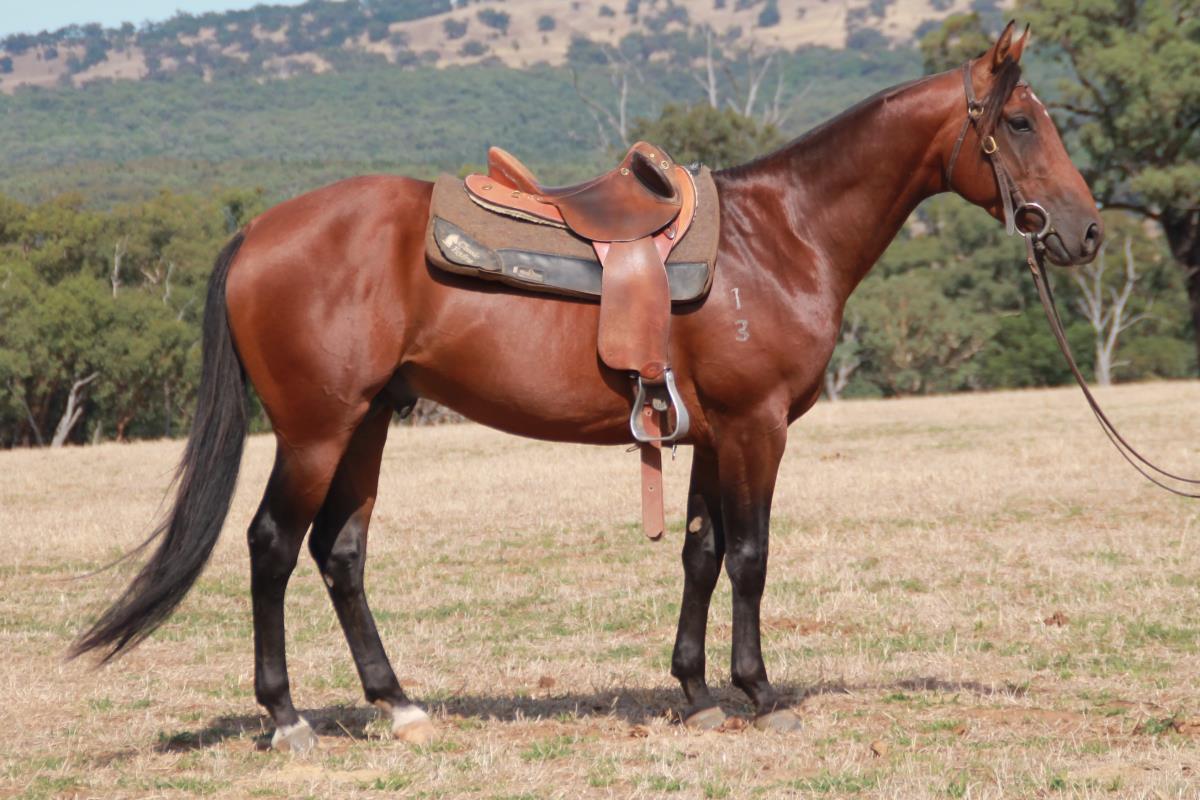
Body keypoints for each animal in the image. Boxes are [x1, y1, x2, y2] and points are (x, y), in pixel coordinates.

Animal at [72, 23, 1102, 751]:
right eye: (1019, 123)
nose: (1085, 231)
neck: (781, 236)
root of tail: (259, 230)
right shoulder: (756, 428)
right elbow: (751, 557)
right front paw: (760, 693)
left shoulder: (709, 435)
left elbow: (699, 554)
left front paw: (695, 692)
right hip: (316, 430)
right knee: (273, 547)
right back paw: (286, 718)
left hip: (366, 425)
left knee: (340, 552)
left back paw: (399, 704)